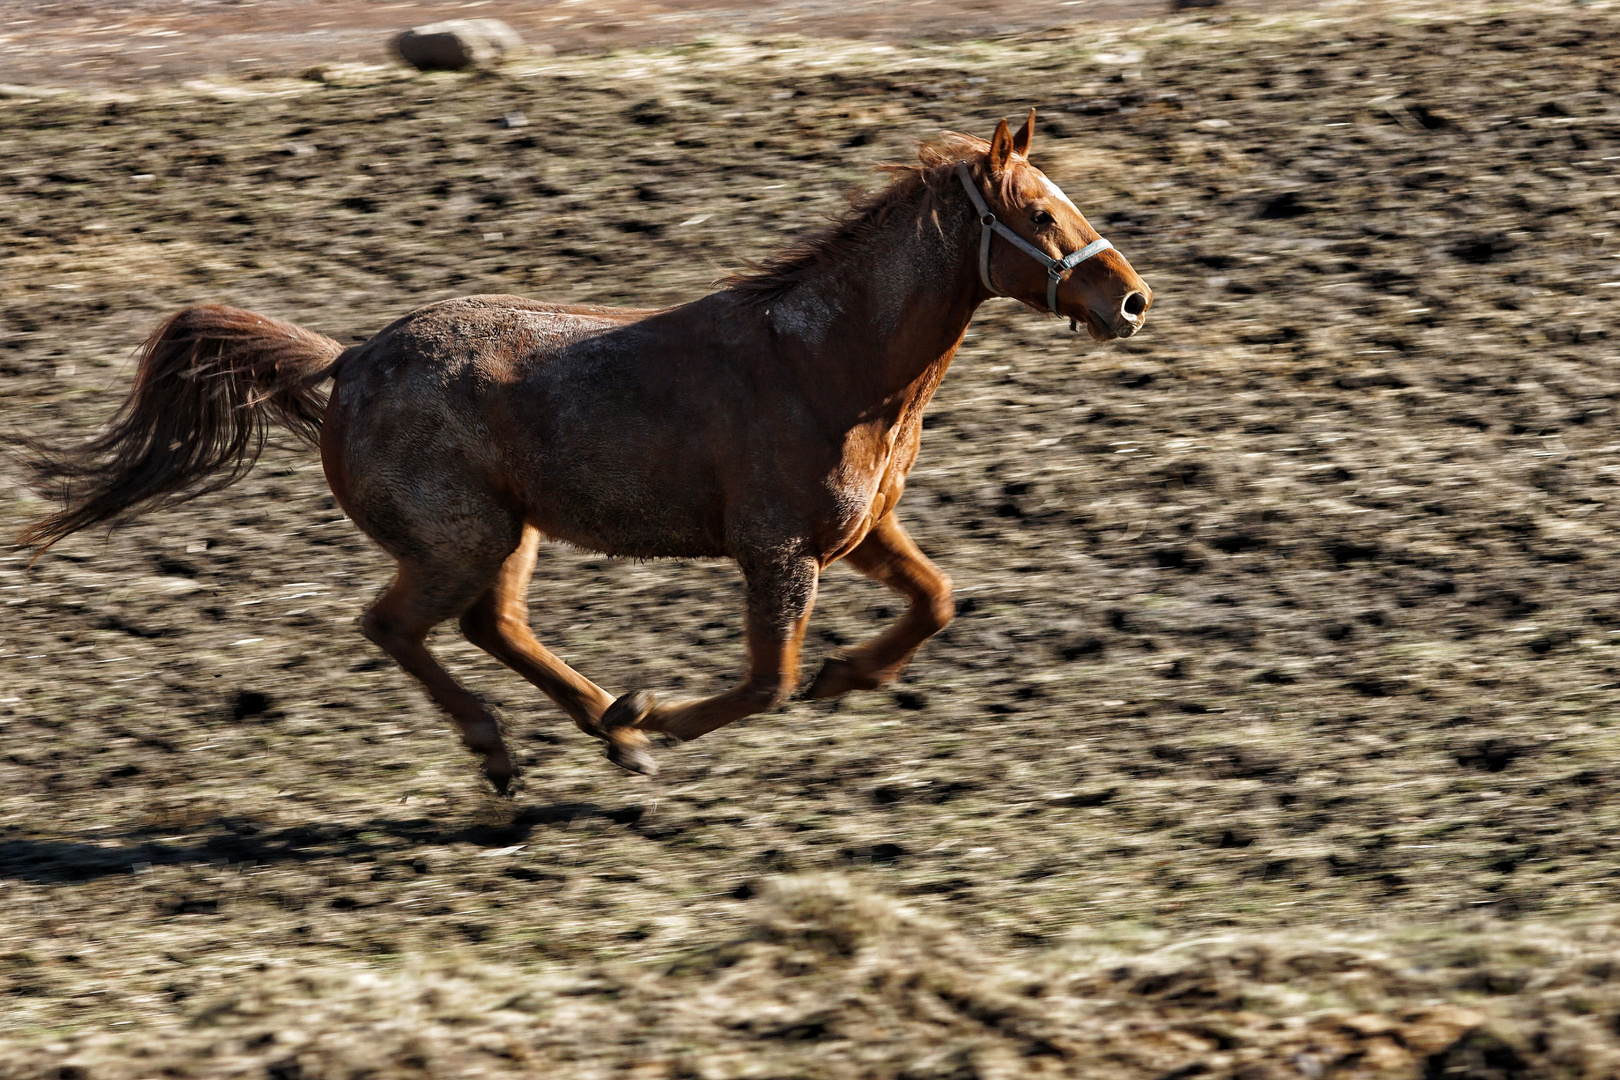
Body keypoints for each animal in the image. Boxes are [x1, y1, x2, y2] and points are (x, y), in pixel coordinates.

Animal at [15, 111, 1153, 793]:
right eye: (1039, 211)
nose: (1133, 300)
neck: (826, 364)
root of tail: (350, 360)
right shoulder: (777, 550)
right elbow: (768, 681)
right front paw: (674, 716)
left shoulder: (859, 532)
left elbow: (936, 600)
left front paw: (840, 676)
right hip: (459, 538)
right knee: (398, 626)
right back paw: (525, 751)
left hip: (508, 536)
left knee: (493, 627)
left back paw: (610, 726)